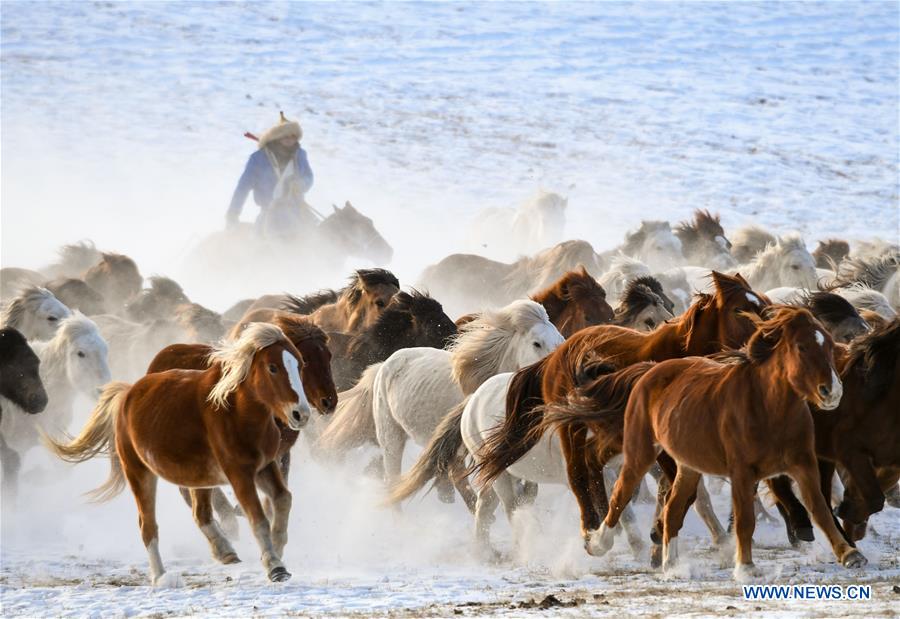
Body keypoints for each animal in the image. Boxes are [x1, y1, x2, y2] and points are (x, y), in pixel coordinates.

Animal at [46, 323, 311, 584]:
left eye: (299, 364)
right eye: (272, 367)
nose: (301, 414)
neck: (236, 413)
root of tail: (127, 394)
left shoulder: (264, 466)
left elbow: (283, 499)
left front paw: (278, 547)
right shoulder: (239, 474)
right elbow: (258, 519)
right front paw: (275, 566)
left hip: (199, 478)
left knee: (201, 514)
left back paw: (224, 551)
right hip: (139, 473)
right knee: (148, 526)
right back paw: (160, 577)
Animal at [575, 307, 866, 579]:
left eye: (829, 345)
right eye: (801, 346)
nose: (832, 392)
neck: (767, 408)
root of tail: (649, 369)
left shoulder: (803, 465)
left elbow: (820, 509)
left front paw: (850, 554)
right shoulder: (742, 473)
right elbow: (745, 519)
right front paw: (746, 567)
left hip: (688, 467)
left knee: (672, 510)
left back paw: (672, 565)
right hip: (641, 452)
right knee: (621, 494)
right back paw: (596, 543)